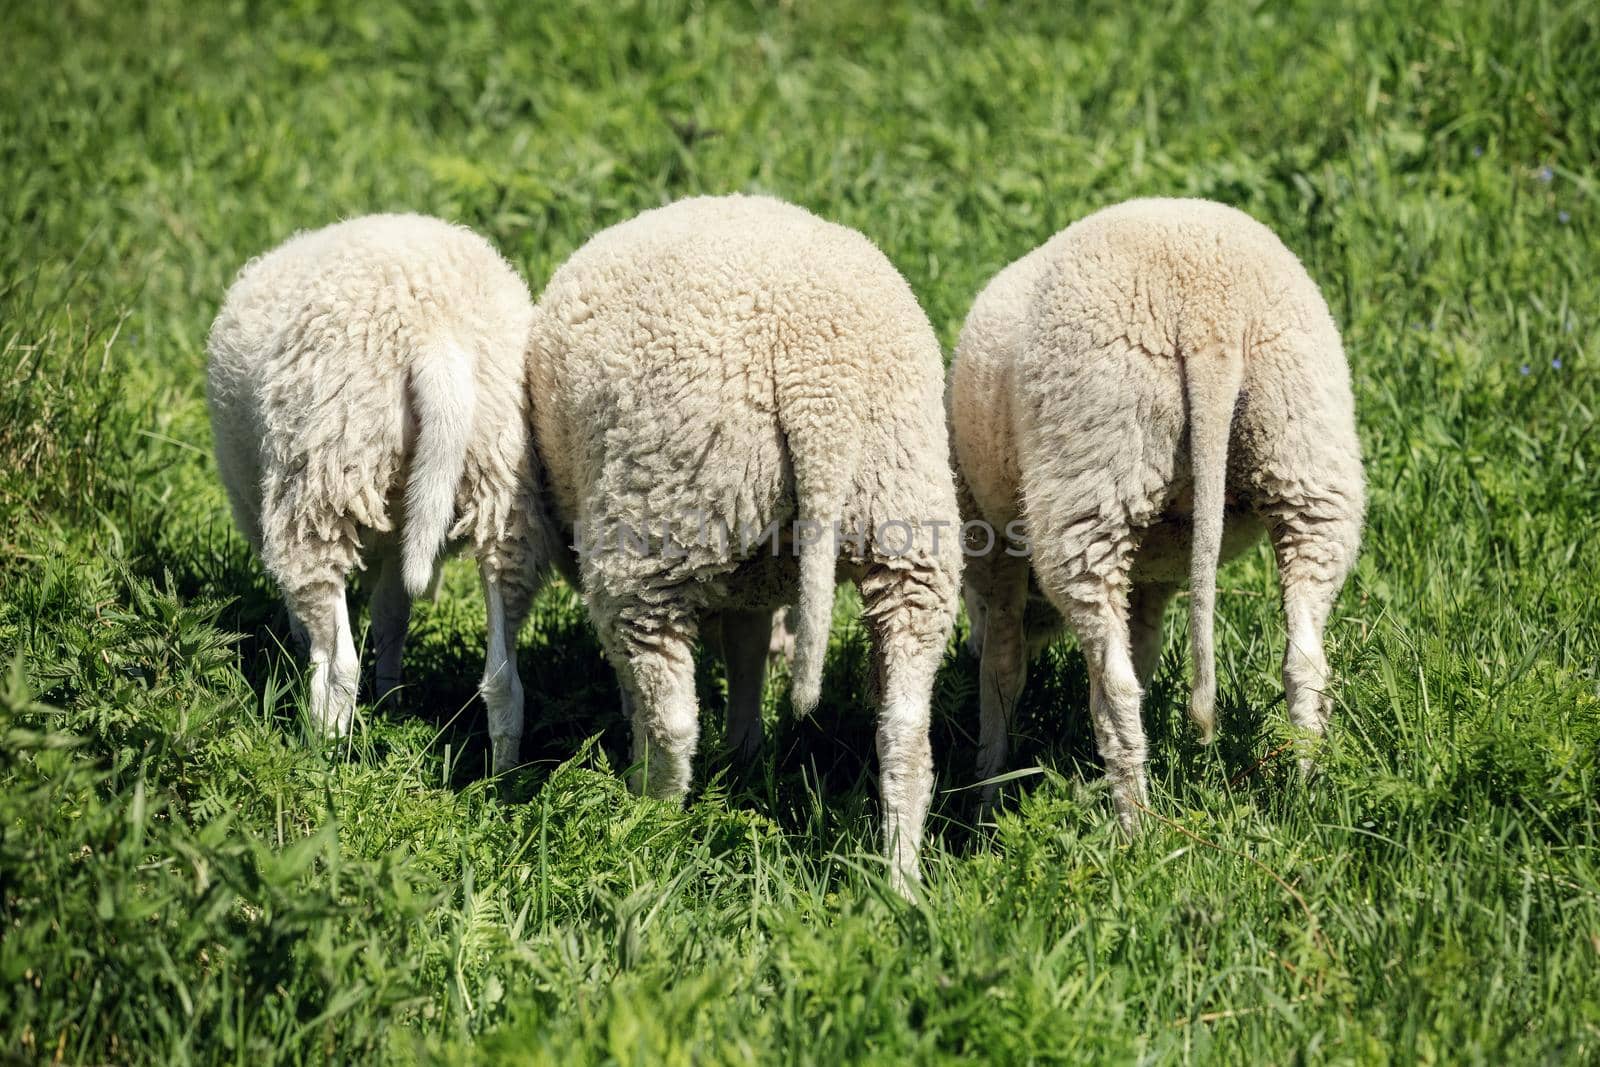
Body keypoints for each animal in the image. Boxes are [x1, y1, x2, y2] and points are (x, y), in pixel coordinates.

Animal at [204, 212, 563, 771]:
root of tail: (436, 340)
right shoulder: (399, 538)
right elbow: (392, 616)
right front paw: (391, 697)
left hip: (326, 474)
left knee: (337, 666)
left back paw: (324, 761)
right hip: (504, 484)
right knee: (505, 679)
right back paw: (499, 776)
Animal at [528, 194, 960, 895]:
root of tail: (822, 388)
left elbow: (656, 683)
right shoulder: (753, 581)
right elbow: (749, 651)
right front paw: (745, 748)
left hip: (659, 520)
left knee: (672, 713)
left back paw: (647, 818)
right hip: (908, 523)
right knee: (905, 728)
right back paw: (900, 879)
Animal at [947, 198, 1363, 825]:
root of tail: (1209, 318)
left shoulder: (996, 548)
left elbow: (1003, 668)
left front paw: (985, 794)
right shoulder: (1151, 576)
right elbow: (1140, 649)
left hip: (1093, 469)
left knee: (1114, 690)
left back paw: (1134, 827)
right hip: (1307, 457)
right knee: (1306, 658)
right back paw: (1309, 795)